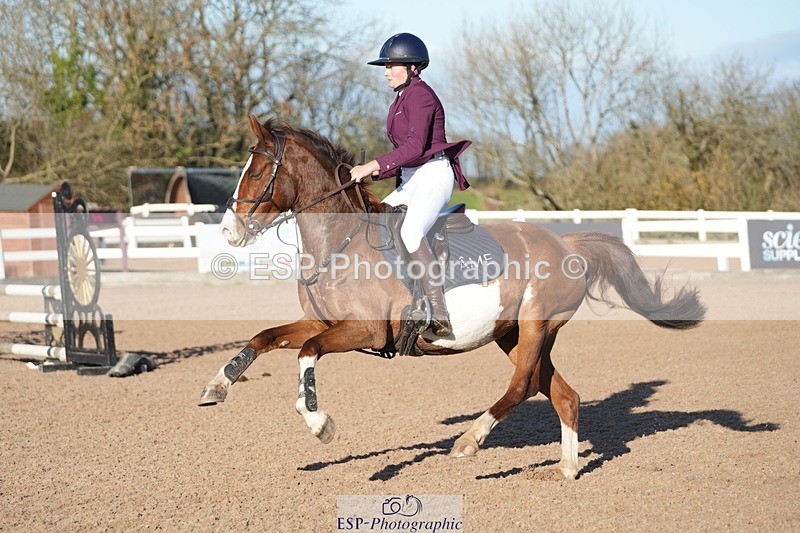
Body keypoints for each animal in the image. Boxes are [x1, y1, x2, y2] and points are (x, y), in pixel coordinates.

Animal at [198, 115, 705, 479]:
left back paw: (469, 440)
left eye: (257, 171)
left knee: (523, 386)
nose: (228, 232)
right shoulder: (324, 323)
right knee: (564, 395)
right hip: (513, 335)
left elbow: (306, 353)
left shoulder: (362, 331)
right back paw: (565, 468)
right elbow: (264, 337)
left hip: (536, 327)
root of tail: (567, 245)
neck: (340, 243)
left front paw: (319, 423)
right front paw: (217, 386)